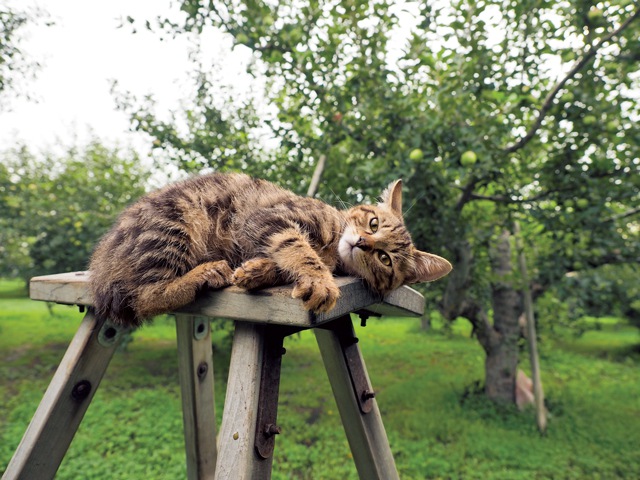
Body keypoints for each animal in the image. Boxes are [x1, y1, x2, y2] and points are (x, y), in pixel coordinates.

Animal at [90, 172, 452, 326]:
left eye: (385, 259)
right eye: (373, 223)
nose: (362, 242)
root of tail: (101, 262)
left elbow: (279, 259)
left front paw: (257, 271)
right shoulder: (270, 218)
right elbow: (297, 247)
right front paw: (319, 280)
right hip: (174, 224)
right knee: (146, 297)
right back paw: (204, 273)